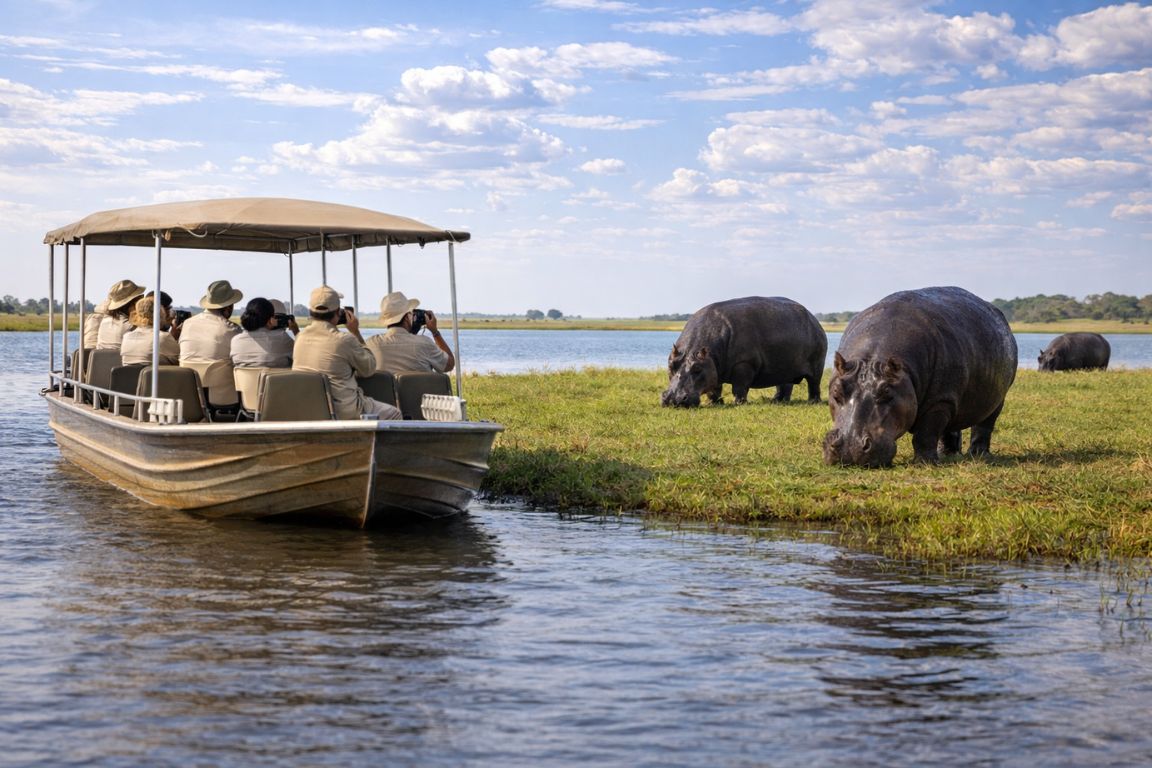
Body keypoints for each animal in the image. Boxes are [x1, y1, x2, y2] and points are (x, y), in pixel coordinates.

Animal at [661, 296, 827, 407]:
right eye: (671, 365)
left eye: (697, 368)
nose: (674, 399)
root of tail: (813, 318)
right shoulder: (713, 367)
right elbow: (714, 389)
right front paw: (713, 403)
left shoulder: (743, 364)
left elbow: (739, 387)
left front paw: (739, 403)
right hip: (784, 367)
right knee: (784, 385)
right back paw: (776, 401)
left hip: (817, 365)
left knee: (814, 384)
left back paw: (813, 402)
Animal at [822, 286, 1017, 467]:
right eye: (836, 393)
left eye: (887, 394)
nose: (851, 448)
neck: (874, 358)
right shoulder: (946, 399)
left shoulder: (938, 402)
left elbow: (926, 433)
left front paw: (925, 463)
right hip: (953, 400)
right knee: (949, 429)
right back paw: (948, 454)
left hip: (996, 398)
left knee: (984, 425)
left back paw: (978, 454)